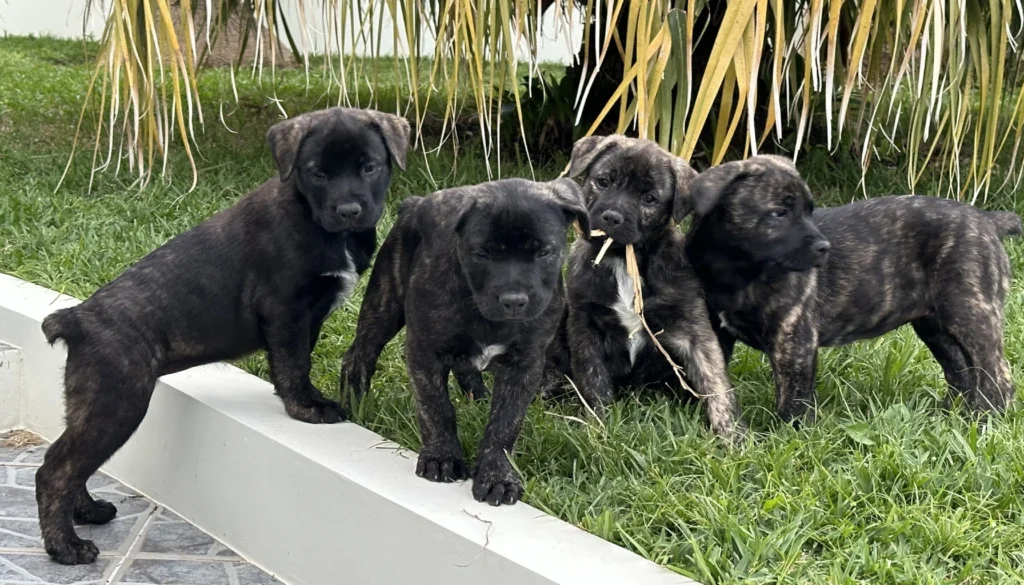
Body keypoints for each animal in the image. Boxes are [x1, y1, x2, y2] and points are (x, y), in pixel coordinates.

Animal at [36, 107, 411, 565]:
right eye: (317, 173)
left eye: (370, 168)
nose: (349, 210)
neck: (312, 218)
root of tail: (76, 318)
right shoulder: (284, 308)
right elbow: (294, 362)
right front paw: (307, 407)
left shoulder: (307, 316)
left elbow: (296, 358)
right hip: (115, 403)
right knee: (56, 470)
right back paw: (65, 547)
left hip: (92, 406)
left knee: (72, 462)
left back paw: (87, 512)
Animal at [339, 176, 589, 506]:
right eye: (481, 253)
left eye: (544, 252)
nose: (514, 300)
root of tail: (413, 204)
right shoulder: (424, 352)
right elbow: (437, 407)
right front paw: (442, 457)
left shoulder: (526, 363)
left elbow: (506, 421)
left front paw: (497, 475)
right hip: (384, 305)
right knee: (359, 355)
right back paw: (353, 403)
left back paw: (479, 398)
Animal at [561, 136, 745, 438]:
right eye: (603, 181)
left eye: (649, 199)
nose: (611, 217)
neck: (625, 260)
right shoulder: (584, 326)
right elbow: (593, 382)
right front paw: (599, 429)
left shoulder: (695, 331)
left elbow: (715, 383)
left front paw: (733, 436)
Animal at [684, 153, 1019, 424]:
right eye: (780, 213)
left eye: (809, 211)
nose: (824, 247)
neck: (739, 269)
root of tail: (988, 221)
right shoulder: (717, 334)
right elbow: (711, 378)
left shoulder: (793, 342)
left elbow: (793, 398)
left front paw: (791, 434)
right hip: (935, 325)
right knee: (960, 370)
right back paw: (951, 414)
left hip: (971, 311)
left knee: (996, 374)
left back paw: (984, 420)